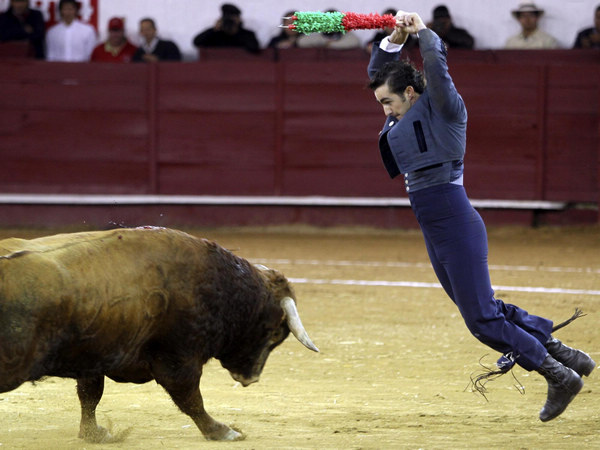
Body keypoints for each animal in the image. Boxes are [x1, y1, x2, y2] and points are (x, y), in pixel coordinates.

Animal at [0, 227, 318, 442]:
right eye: (275, 334)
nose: (251, 379)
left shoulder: (95, 356)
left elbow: (90, 396)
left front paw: (94, 434)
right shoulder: (178, 358)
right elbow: (191, 399)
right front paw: (223, 431)